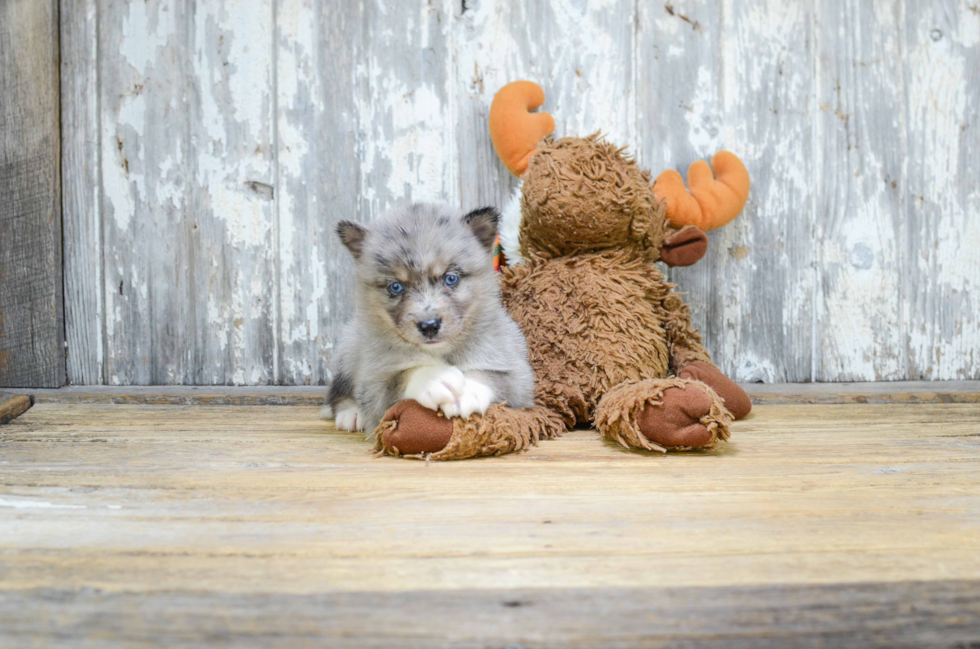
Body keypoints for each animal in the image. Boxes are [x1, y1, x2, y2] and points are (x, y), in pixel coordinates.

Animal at [322, 202, 536, 436]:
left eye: (450, 278)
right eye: (395, 286)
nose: (429, 326)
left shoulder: (519, 376)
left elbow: (492, 376)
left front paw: (466, 391)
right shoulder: (373, 386)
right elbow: (404, 374)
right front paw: (435, 378)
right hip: (349, 349)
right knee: (337, 390)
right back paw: (351, 414)